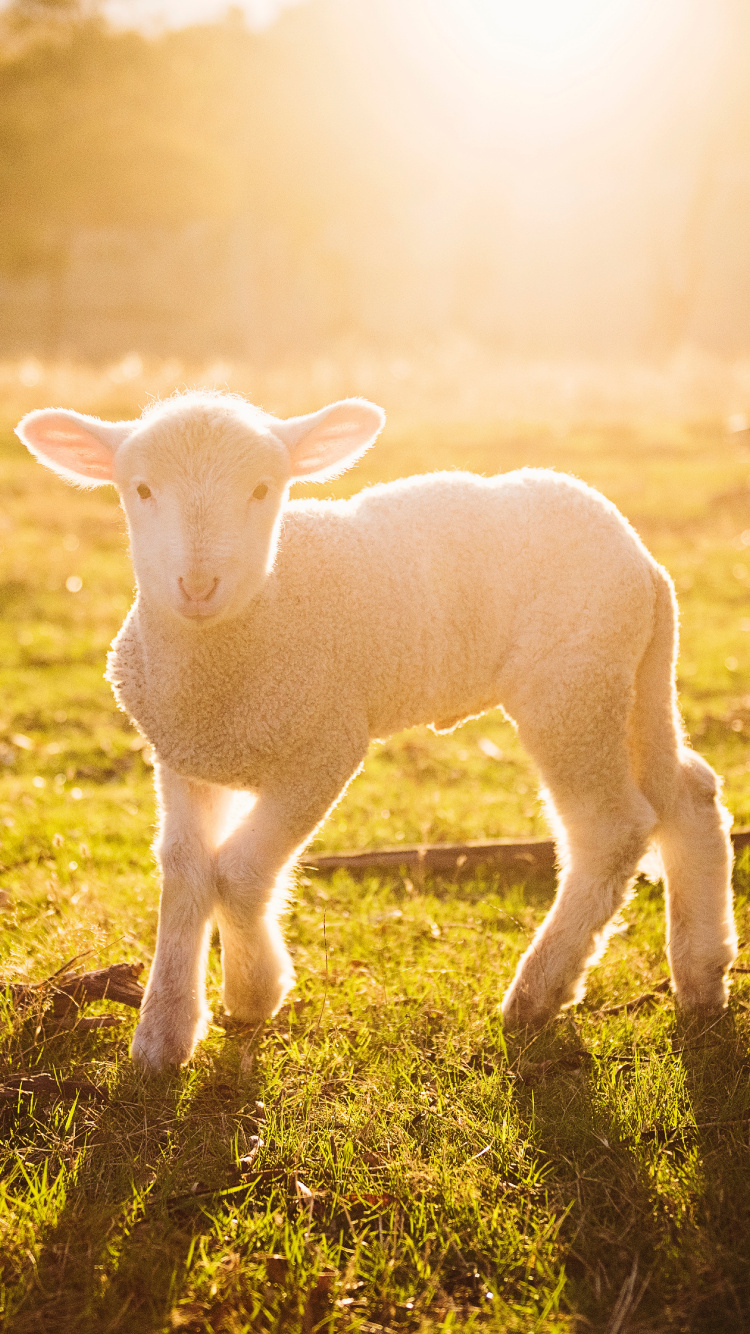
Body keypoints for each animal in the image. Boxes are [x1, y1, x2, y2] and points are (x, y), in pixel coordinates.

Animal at [16, 391, 736, 1071]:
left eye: (262, 489)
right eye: (140, 489)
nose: (197, 584)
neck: (241, 638)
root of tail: (644, 561)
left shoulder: (325, 748)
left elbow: (240, 872)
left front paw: (253, 992)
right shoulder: (183, 756)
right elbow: (185, 869)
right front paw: (164, 1033)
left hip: (572, 687)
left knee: (610, 830)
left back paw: (538, 992)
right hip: (632, 679)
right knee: (689, 794)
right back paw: (702, 976)